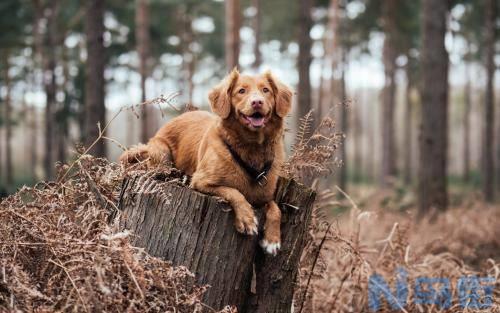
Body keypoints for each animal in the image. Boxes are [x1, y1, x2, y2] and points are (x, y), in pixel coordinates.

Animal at [120, 69, 292, 254]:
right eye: (241, 91)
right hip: (161, 152)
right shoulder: (201, 182)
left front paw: (272, 240)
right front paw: (247, 219)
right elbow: (234, 192)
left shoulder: (264, 196)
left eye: (266, 90)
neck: (251, 147)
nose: (257, 102)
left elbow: (276, 208)